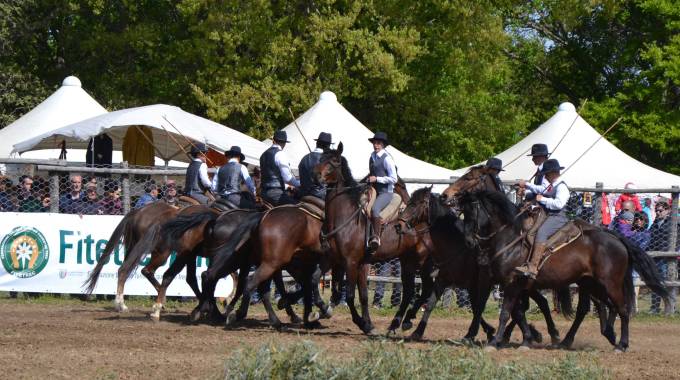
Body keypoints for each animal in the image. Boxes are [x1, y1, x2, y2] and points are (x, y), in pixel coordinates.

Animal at [314, 143, 436, 336]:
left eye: (334, 161)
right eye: (321, 158)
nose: (316, 175)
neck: (344, 218)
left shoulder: (352, 262)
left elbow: (350, 296)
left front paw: (363, 324)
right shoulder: (334, 260)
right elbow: (317, 282)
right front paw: (324, 310)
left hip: (423, 262)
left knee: (426, 290)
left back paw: (407, 321)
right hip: (407, 262)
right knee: (409, 292)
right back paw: (398, 323)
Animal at [398, 186, 564, 342]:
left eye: (416, 204)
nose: (399, 225)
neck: (456, 245)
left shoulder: (477, 283)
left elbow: (478, 307)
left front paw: (480, 333)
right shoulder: (443, 280)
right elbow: (431, 304)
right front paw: (417, 331)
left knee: (528, 306)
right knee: (538, 303)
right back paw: (543, 334)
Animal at [456, 191, 668, 352]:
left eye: (472, 211)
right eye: (462, 212)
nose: (468, 241)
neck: (511, 239)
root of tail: (617, 239)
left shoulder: (512, 284)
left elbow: (506, 313)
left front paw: (495, 341)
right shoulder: (514, 286)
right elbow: (518, 312)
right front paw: (527, 338)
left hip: (610, 284)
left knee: (621, 309)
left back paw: (621, 344)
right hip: (590, 284)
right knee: (598, 307)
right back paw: (590, 337)